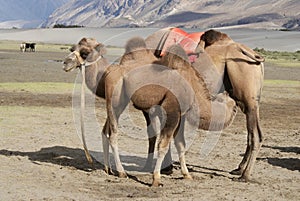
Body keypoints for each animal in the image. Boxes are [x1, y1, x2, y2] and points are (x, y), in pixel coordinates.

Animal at [103, 38, 237, 187]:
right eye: (233, 105)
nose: (237, 108)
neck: (193, 88)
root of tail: (109, 71)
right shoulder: (172, 110)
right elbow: (163, 145)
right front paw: (156, 179)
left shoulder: (181, 115)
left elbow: (181, 145)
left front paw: (187, 175)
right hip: (115, 99)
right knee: (113, 134)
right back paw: (121, 172)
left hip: (118, 102)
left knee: (105, 131)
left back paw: (107, 168)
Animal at [145, 27, 264, 181]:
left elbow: (155, 135)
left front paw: (162, 168)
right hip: (251, 100)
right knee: (252, 133)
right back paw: (239, 169)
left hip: (247, 95)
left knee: (255, 135)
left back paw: (245, 174)